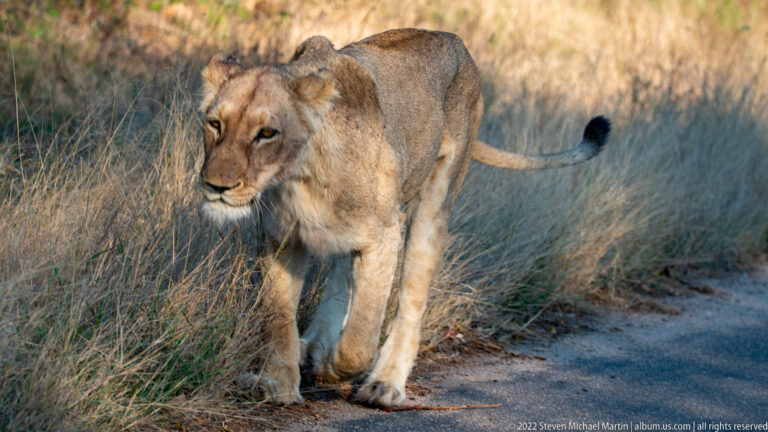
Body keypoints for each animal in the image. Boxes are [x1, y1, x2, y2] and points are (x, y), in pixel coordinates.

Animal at [197, 28, 610, 407]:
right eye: (215, 124)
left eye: (267, 133)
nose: (216, 186)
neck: (302, 177)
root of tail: (457, 43)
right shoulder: (281, 237)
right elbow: (278, 317)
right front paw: (277, 385)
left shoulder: (384, 235)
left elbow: (360, 341)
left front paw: (329, 366)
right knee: (343, 275)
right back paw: (314, 344)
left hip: (432, 208)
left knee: (410, 302)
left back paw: (384, 384)